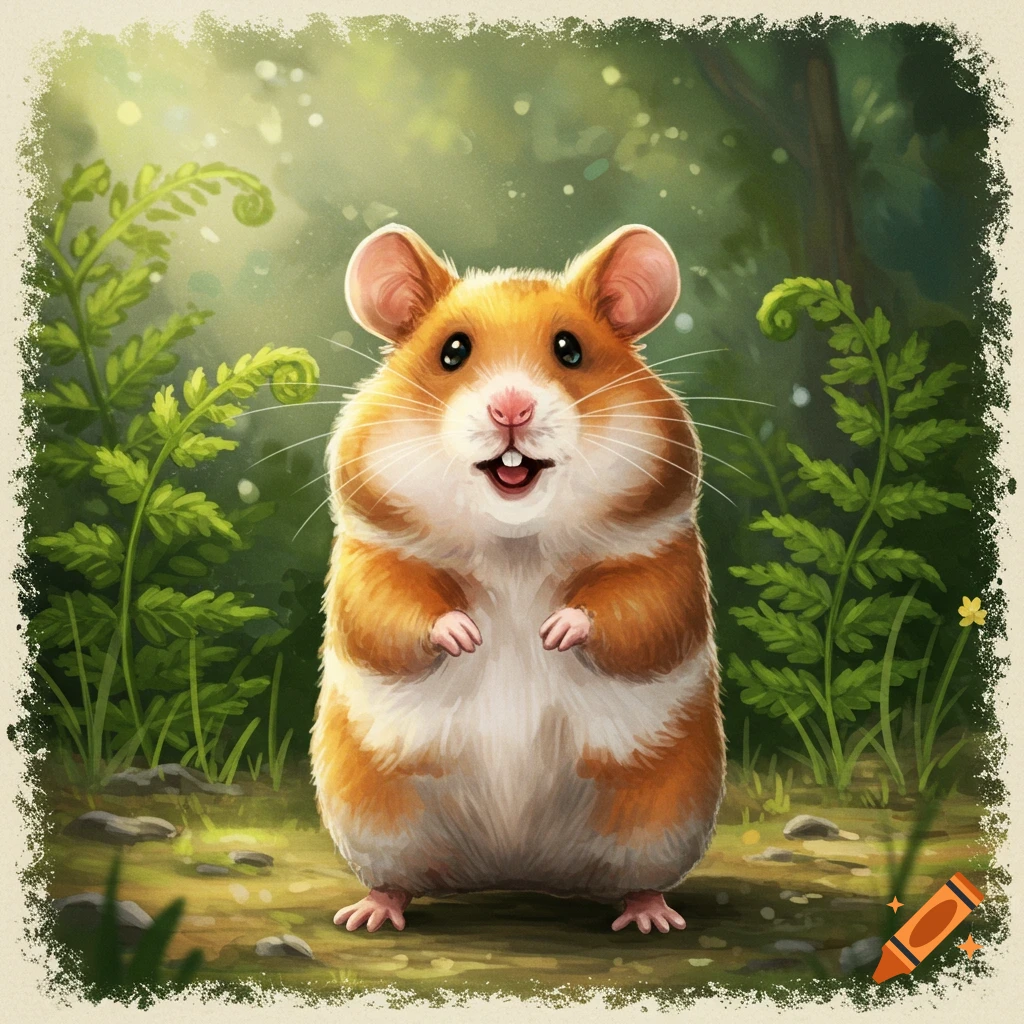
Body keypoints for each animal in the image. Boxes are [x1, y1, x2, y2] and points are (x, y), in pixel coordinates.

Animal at [309, 223, 725, 935]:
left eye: (570, 349)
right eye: (452, 351)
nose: (512, 407)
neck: (516, 544)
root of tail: (517, 870)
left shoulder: (663, 557)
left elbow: (635, 612)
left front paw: (552, 633)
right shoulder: (373, 557)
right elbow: (393, 612)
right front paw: (468, 635)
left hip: (661, 817)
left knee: (640, 880)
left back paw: (653, 920)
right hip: (374, 816)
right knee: (395, 879)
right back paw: (368, 914)